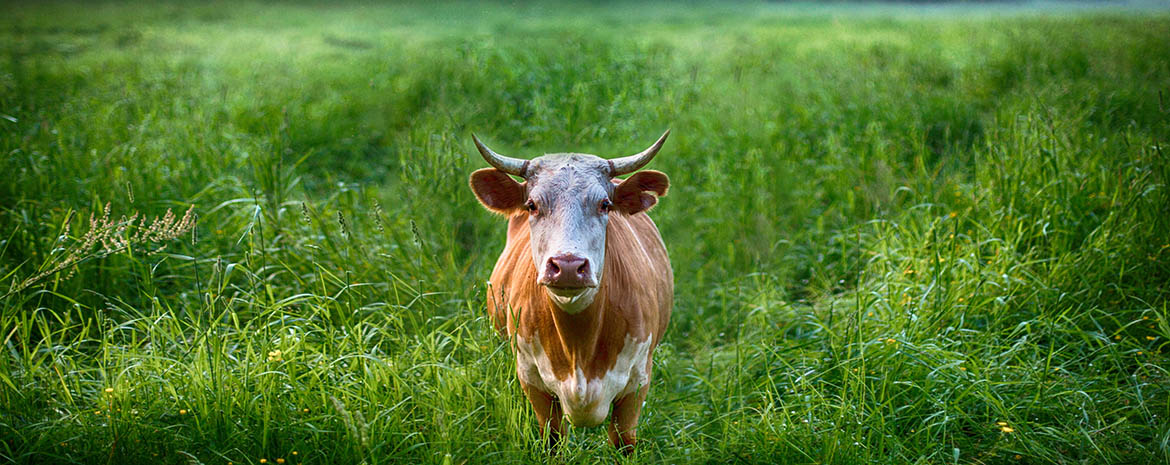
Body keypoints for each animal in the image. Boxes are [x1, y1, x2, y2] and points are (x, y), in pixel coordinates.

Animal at [460, 130, 673, 452]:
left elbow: (623, 442)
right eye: (532, 205)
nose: (568, 265)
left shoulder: (637, 382)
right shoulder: (531, 378)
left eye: (605, 204)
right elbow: (552, 439)